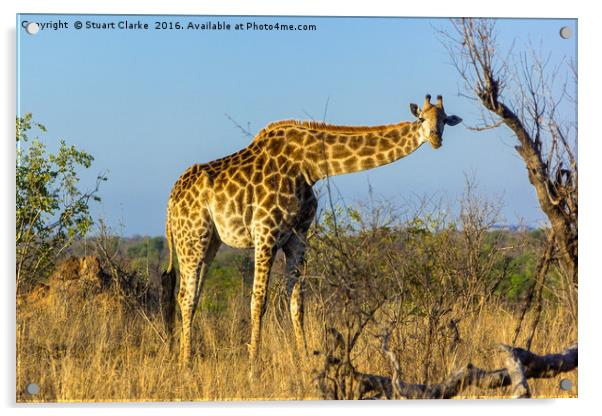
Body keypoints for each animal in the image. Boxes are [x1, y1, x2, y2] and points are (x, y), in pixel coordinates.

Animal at [162, 94, 462, 368]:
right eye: (421, 119)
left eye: (445, 120)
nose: (435, 139)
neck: (309, 166)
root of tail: (171, 200)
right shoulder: (265, 233)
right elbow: (259, 301)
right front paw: (253, 367)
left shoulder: (297, 237)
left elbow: (297, 303)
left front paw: (304, 360)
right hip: (193, 237)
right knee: (186, 297)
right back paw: (185, 364)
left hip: (209, 242)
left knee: (191, 295)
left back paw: (185, 358)